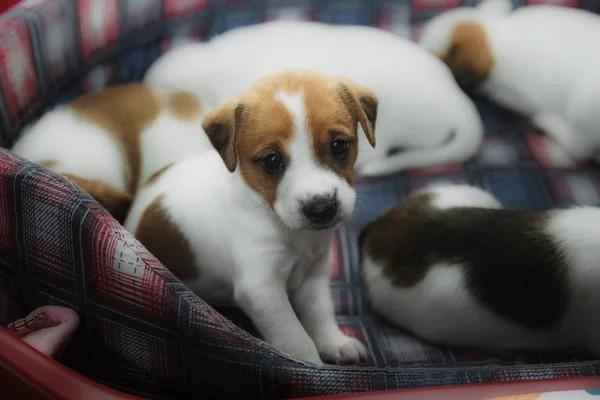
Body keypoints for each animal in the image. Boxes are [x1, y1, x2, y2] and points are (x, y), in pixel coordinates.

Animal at [123, 69, 376, 366]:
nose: (321, 208)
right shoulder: (262, 289)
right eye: (271, 160)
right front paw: (309, 367)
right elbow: (296, 338)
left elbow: (320, 312)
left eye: (339, 145)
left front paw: (334, 343)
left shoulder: (314, 272)